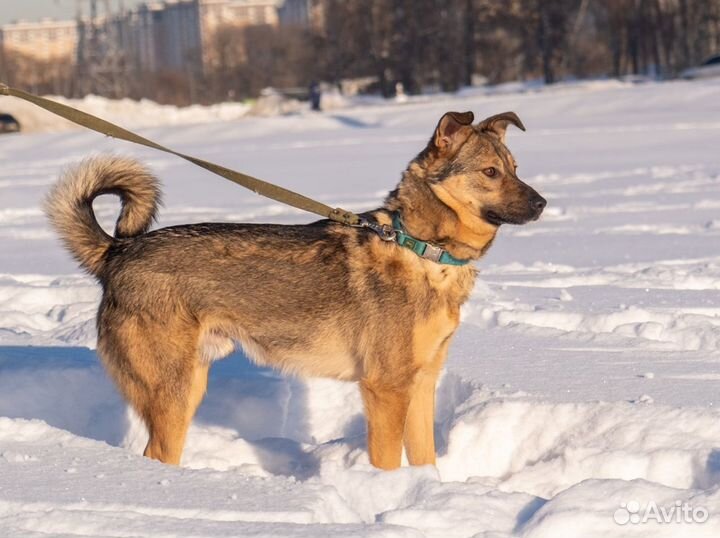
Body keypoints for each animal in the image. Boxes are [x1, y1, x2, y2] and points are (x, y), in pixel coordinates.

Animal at [45, 111, 544, 466]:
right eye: (491, 172)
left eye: (516, 168)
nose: (542, 203)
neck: (421, 248)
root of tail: (118, 251)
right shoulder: (386, 388)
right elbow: (387, 462)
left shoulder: (421, 384)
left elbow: (426, 460)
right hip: (172, 392)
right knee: (156, 454)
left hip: (189, 384)